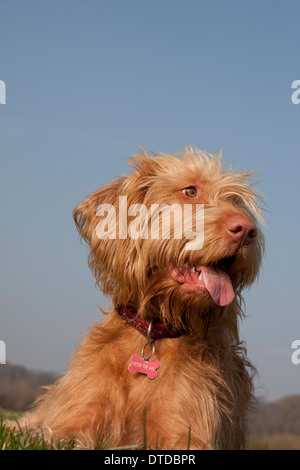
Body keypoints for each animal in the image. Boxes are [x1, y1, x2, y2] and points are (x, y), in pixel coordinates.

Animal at [8, 147, 264, 448]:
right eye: (189, 191)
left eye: (236, 200)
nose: (247, 230)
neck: (154, 331)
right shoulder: (67, 425)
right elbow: (54, 435)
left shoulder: (186, 434)